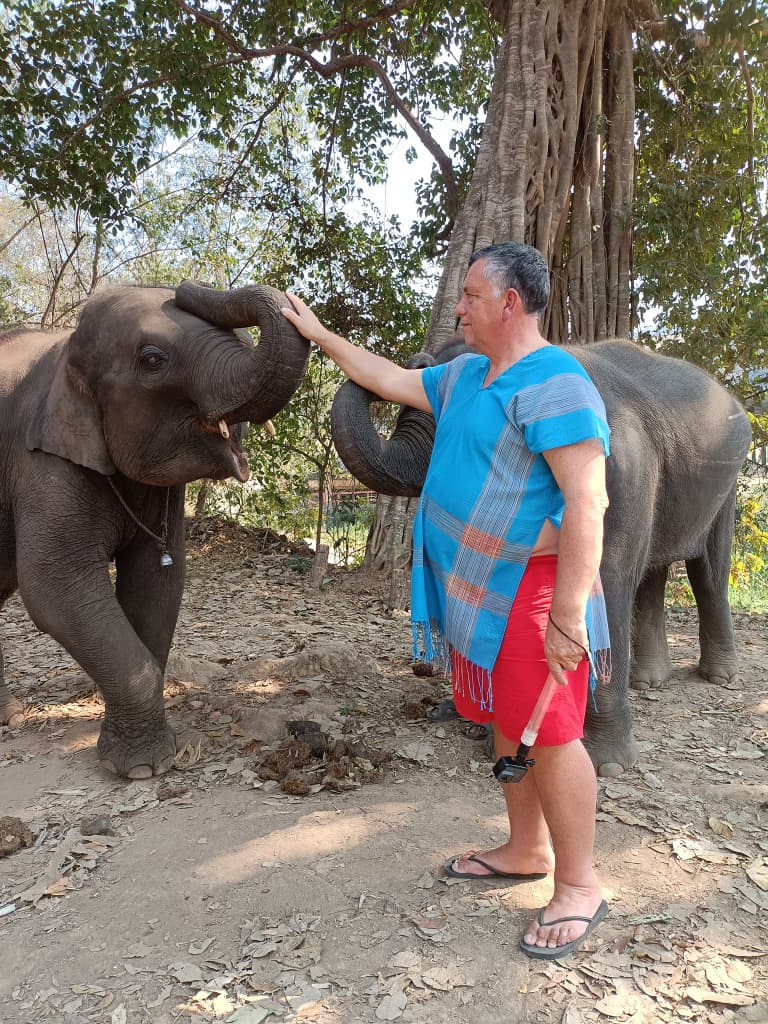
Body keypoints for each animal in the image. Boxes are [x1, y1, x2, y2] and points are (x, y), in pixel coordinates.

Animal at [2, 280, 313, 774]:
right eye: (152, 360)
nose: (187, 286)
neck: (65, 349)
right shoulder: (40, 459)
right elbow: (55, 587)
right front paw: (144, 769)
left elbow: (156, 580)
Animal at [329, 335, 753, 774]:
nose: (417, 360)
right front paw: (493, 730)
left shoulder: (617, 470)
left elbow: (608, 579)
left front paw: (605, 765)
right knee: (654, 572)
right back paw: (647, 682)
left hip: (727, 485)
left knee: (708, 572)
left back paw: (719, 677)